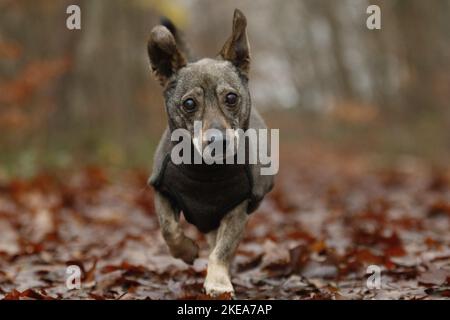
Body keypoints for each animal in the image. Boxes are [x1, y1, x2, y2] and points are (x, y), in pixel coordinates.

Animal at [148, 8, 274, 298]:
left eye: (231, 98)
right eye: (189, 104)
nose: (218, 142)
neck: (206, 172)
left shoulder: (237, 208)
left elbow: (222, 250)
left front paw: (218, 281)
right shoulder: (161, 191)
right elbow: (169, 229)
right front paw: (185, 250)